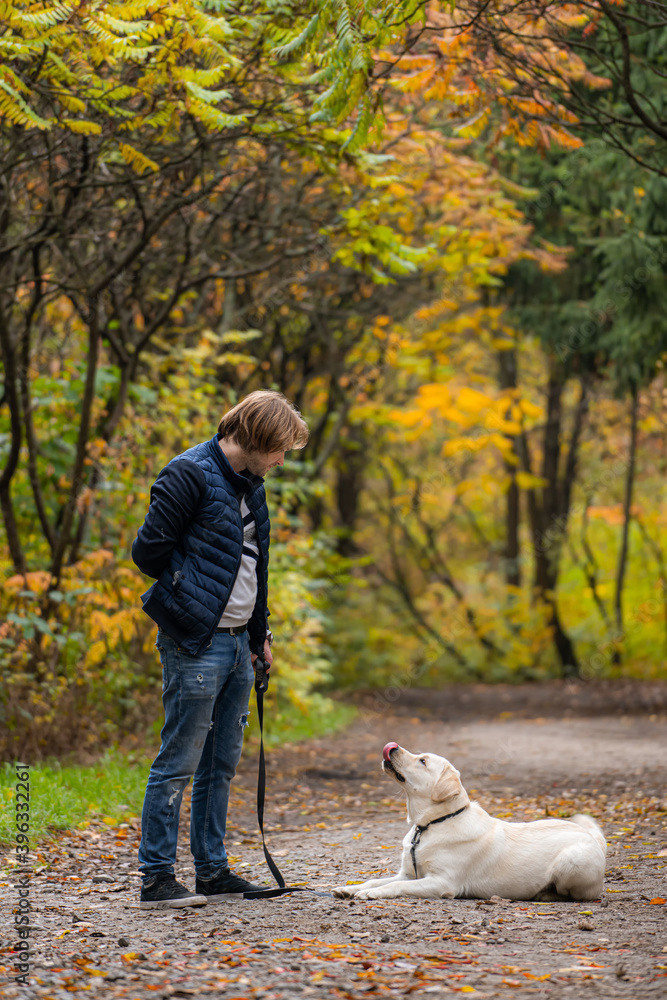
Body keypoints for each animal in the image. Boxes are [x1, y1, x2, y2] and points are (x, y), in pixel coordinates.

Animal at [332, 740, 608, 904]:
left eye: (422, 760)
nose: (393, 747)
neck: (431, 825)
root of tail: (592, 838)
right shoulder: (408, 873)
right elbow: (376, 879)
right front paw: (350, 888)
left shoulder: (442, 882)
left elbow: (394, 887)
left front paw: (372, 893)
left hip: (572, 862)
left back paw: (546, 893)